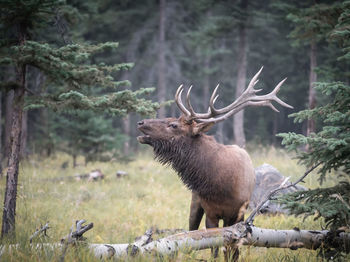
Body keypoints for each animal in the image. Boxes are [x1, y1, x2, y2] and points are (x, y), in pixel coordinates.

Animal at [137, 67, 292, 260]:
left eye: (173, 125)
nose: (141, 122)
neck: (221, 185)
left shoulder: (239, 214)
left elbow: (233, 252)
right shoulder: (211, 212)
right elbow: (214, 249)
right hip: (195, 202)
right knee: (190, 231)